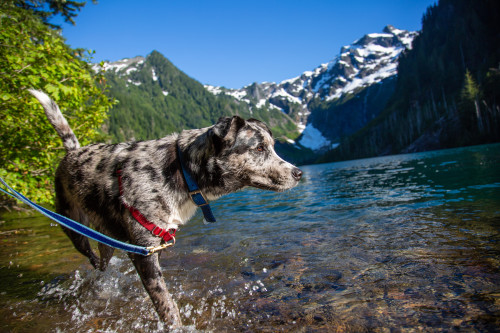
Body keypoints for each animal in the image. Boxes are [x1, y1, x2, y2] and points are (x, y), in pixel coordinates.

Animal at [29, 89, 302, 326]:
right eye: (259, 148)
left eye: (273, 146)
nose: (299, 173)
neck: (182, 170)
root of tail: (72, 152)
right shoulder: (144, 253)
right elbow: (167, 305)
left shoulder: (154, 247)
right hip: (73, 226)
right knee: (91, 255)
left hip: (107, 236)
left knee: (103, 259)